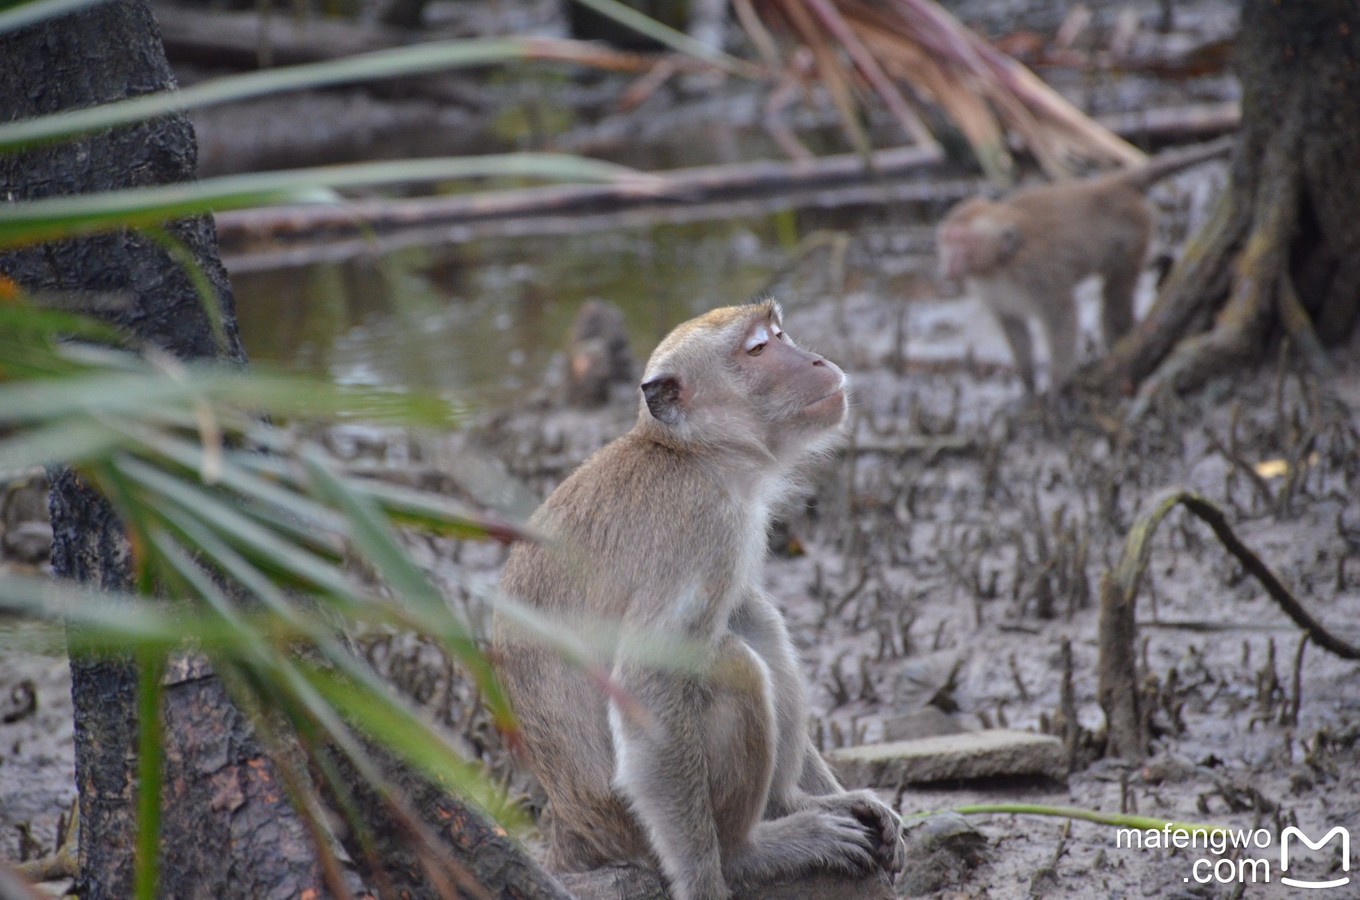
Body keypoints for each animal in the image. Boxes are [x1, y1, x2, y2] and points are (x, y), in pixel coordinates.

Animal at [489, 299, 903, 897]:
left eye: (780, 335)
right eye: (758, 350)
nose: (817, 360)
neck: (690, 453)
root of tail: (569, 826)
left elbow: (743, 613)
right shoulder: (702, 521)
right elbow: (650, 685)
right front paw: (709, 880)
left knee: (753, 623)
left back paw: (792, 802)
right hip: (627, 823)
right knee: (729, 664)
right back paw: (747, 851)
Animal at [935, 137, 1234, 391]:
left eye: (961, 241)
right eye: (947, 239)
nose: (949, 261)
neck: (1001, 262)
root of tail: (1109, 185)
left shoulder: (1037, 272)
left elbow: (1062, 316)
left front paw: (1056, 387)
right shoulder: (987, 287)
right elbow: (1013, 325)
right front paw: (1029, 386)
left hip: (1135, 230)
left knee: (1116, 290)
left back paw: (1119, 339)